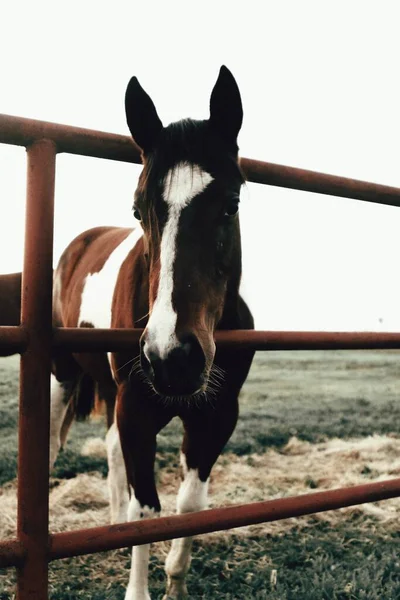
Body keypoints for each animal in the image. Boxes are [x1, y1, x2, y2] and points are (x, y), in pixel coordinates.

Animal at [51, 65, 255, 600]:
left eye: (231, 204)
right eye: (138, 210)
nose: (172, 358)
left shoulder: (216, 415)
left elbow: (189, 508)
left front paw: (175, 584)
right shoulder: (137, 410)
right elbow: (148, 509)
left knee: (110, 450)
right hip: (65, 378)